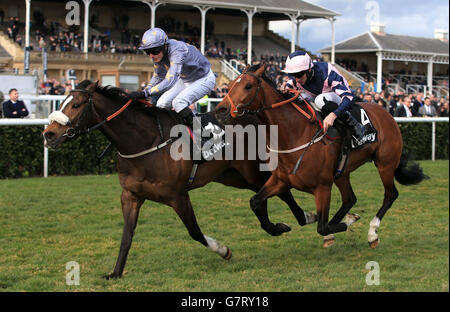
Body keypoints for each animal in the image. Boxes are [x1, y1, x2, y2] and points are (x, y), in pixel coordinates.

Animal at [42, 79, 316, 280]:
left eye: (76, 105)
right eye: (63, 101)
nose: (48, 134)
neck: (145, 142)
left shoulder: (177, 195)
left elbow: (194, 231)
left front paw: (224, 251)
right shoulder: (130, 195)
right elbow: (127, 235)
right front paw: (115, 272)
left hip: (251, 171)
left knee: (280, 190)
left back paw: (301, 219)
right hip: (233, 176)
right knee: (266, 194)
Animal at [216, 63, 428, 249]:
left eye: (248, 85)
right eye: (231, 83)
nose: (221, 110)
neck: (294, 134)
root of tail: (387, 113)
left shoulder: (323, 187)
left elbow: (322, 227)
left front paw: (347, 223)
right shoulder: (280, 180)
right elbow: (255, 202)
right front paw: (278, 227)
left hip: (385, 164)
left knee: (390, 195)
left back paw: (372, 233)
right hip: (342, 172)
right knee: (350, 199)